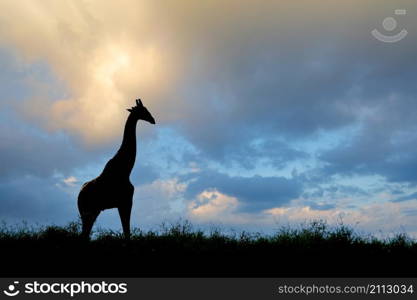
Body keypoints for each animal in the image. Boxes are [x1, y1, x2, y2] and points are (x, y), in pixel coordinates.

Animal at [77, 99, 155, 240]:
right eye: (143, 110)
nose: (153, 120)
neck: (125, 170)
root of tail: (79, 196)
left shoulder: (123, 203)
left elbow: (126, 230)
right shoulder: (126, 201)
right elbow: (126, 231)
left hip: (94, 211)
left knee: (85, 234)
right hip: (88, 211)